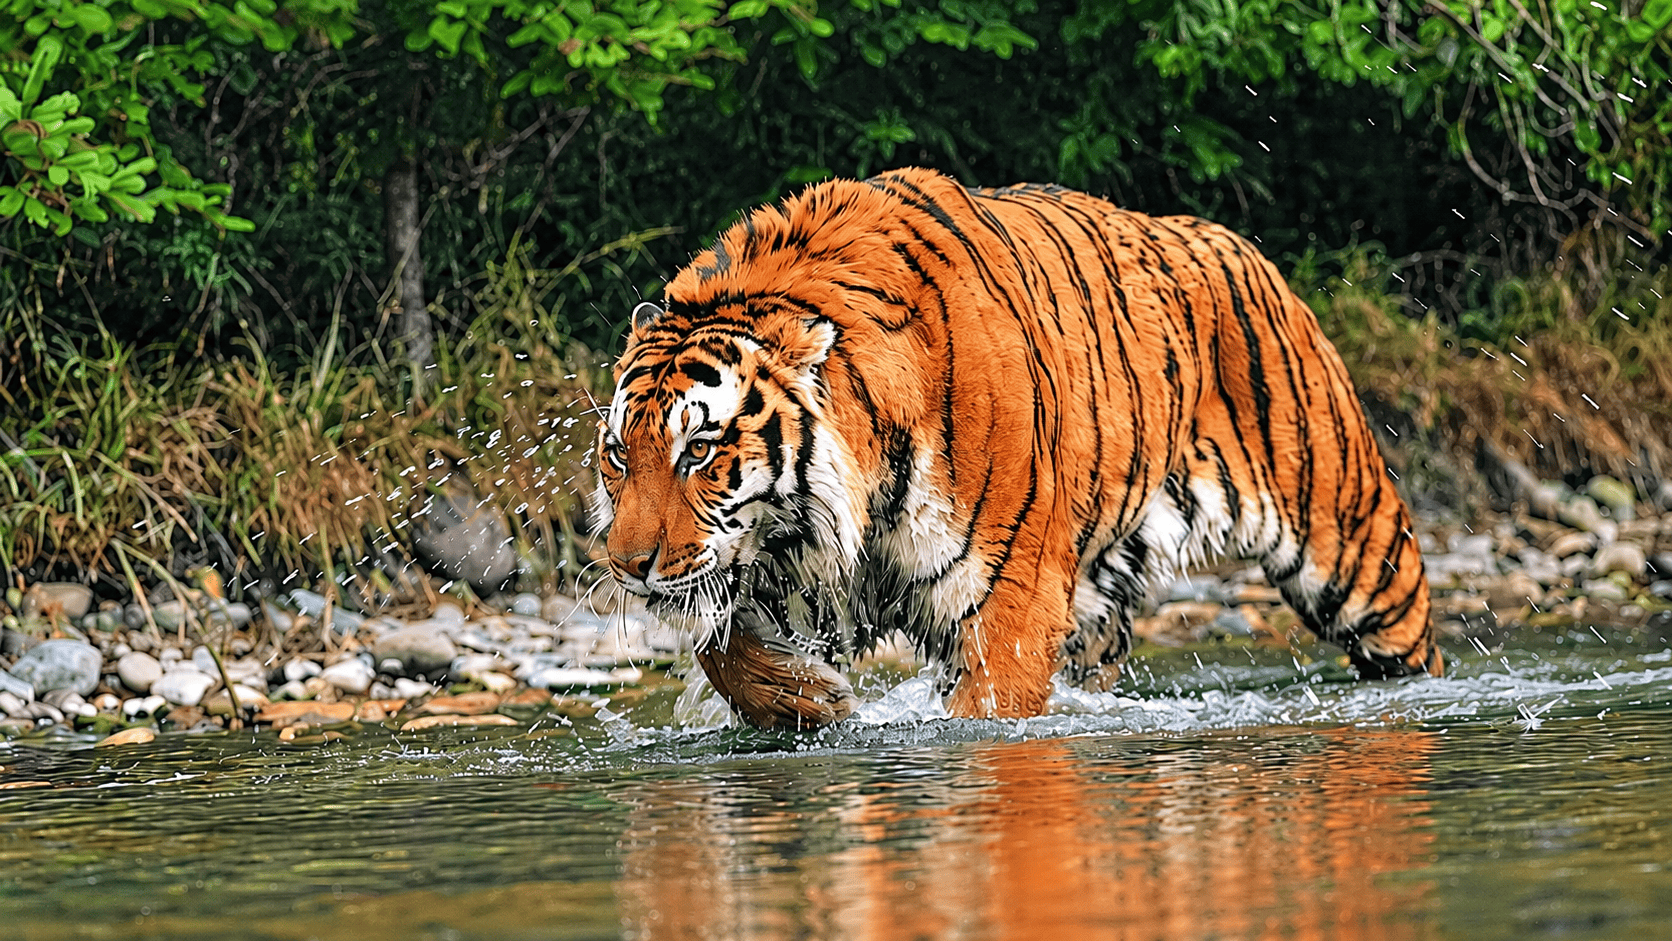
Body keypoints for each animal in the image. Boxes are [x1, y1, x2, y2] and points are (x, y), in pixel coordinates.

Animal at [592, 167, 1443, 730]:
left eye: (700, 449)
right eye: (619, 455)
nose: (627, 565)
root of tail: (1237, 242)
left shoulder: (1009, 592)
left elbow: (991, 714)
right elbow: (721, 647)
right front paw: (810, 698)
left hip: (1357, 550)